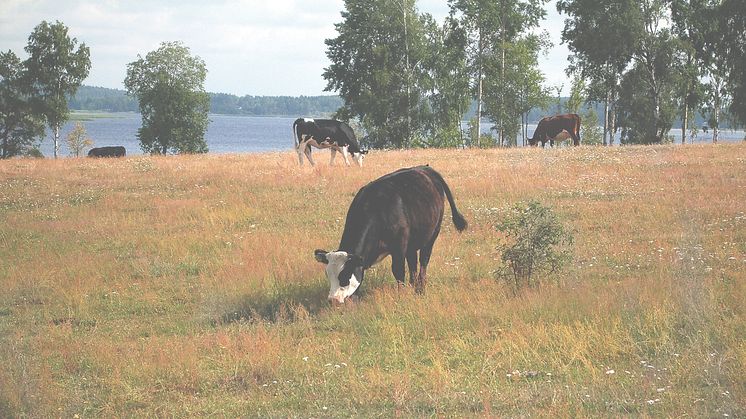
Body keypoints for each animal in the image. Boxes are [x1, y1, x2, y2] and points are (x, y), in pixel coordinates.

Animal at [312, 165, 464, 306]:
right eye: (328, 275)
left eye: (345, 275)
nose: (333, 300)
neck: (376, 210)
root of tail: (425, 168)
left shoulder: (399, 247)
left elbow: (398, 271)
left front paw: (401, 296)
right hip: (412, 243)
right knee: (413, 265)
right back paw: (413, 286)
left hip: (432, 234)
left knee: (423, 262)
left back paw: (420, 290)